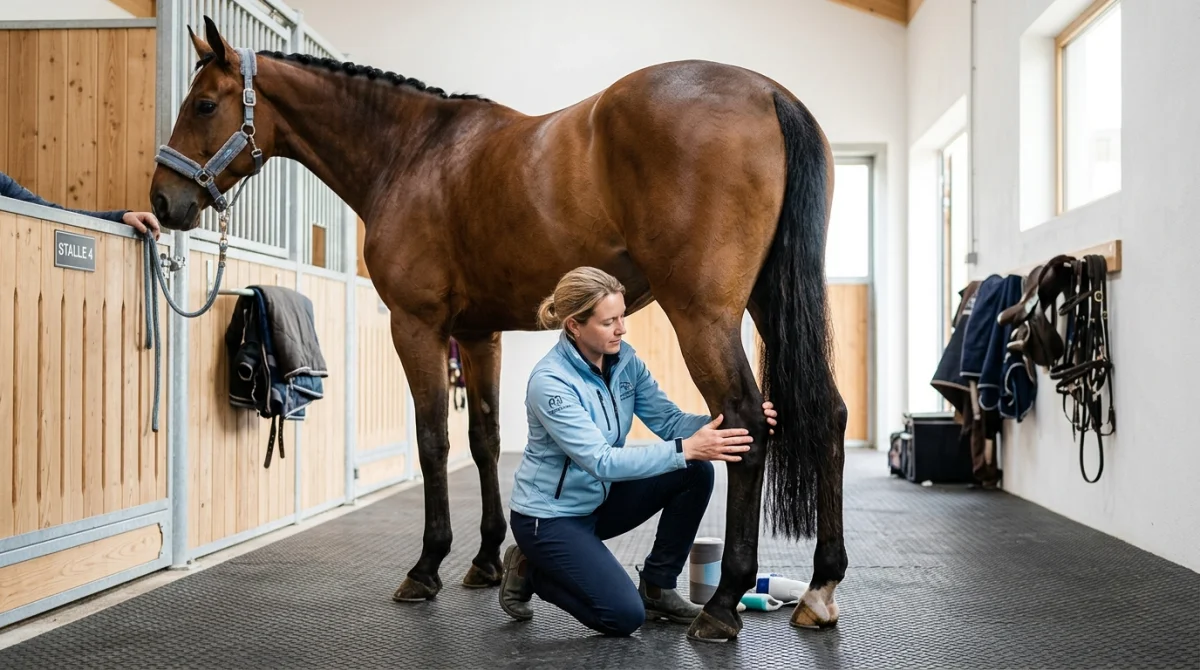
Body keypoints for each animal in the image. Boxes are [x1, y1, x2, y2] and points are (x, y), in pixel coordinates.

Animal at [150, 16, 848, 642]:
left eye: (204, 104)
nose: (162, 201)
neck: (411, 154)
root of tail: (768, 92)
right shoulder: (480, 334)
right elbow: (483, 439)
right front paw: (487, 560)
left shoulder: (418, 327)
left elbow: (433, 439)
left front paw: (427, 566)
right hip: (767, 303)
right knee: (828, 415)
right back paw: (820, 588)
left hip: (702, 315)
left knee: (747, 422)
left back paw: (725, 603)